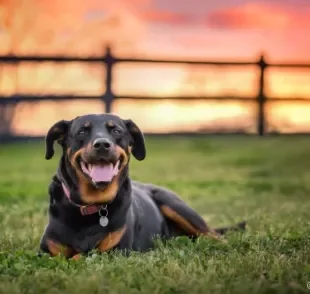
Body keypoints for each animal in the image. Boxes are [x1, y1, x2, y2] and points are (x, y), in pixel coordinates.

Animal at [38, 113, 246, 258]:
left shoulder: (116, 251)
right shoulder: (46, 252)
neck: (91, 206)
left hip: (175, 205)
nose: (102, 144)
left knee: (214, 235)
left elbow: (80, 256)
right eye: (82, 131)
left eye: (116, 131)